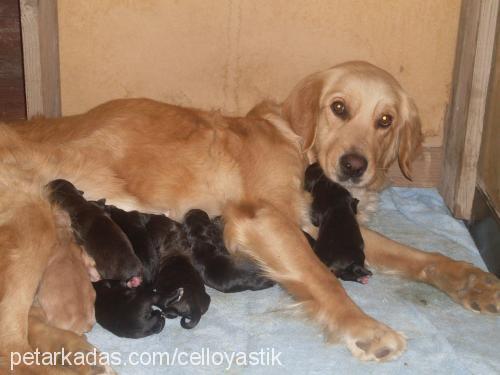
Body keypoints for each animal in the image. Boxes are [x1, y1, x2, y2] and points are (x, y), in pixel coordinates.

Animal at [0, 62, 498, 374]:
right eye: (339, 108)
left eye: (386, 120)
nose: (354, 166)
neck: (299, 143)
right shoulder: (261, 218)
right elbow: (323, 278)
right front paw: (363, 327)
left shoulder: (323, 226)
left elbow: (420, 256)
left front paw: (470, 280)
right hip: (30, 223)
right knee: (10, 350)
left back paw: (72, 352)